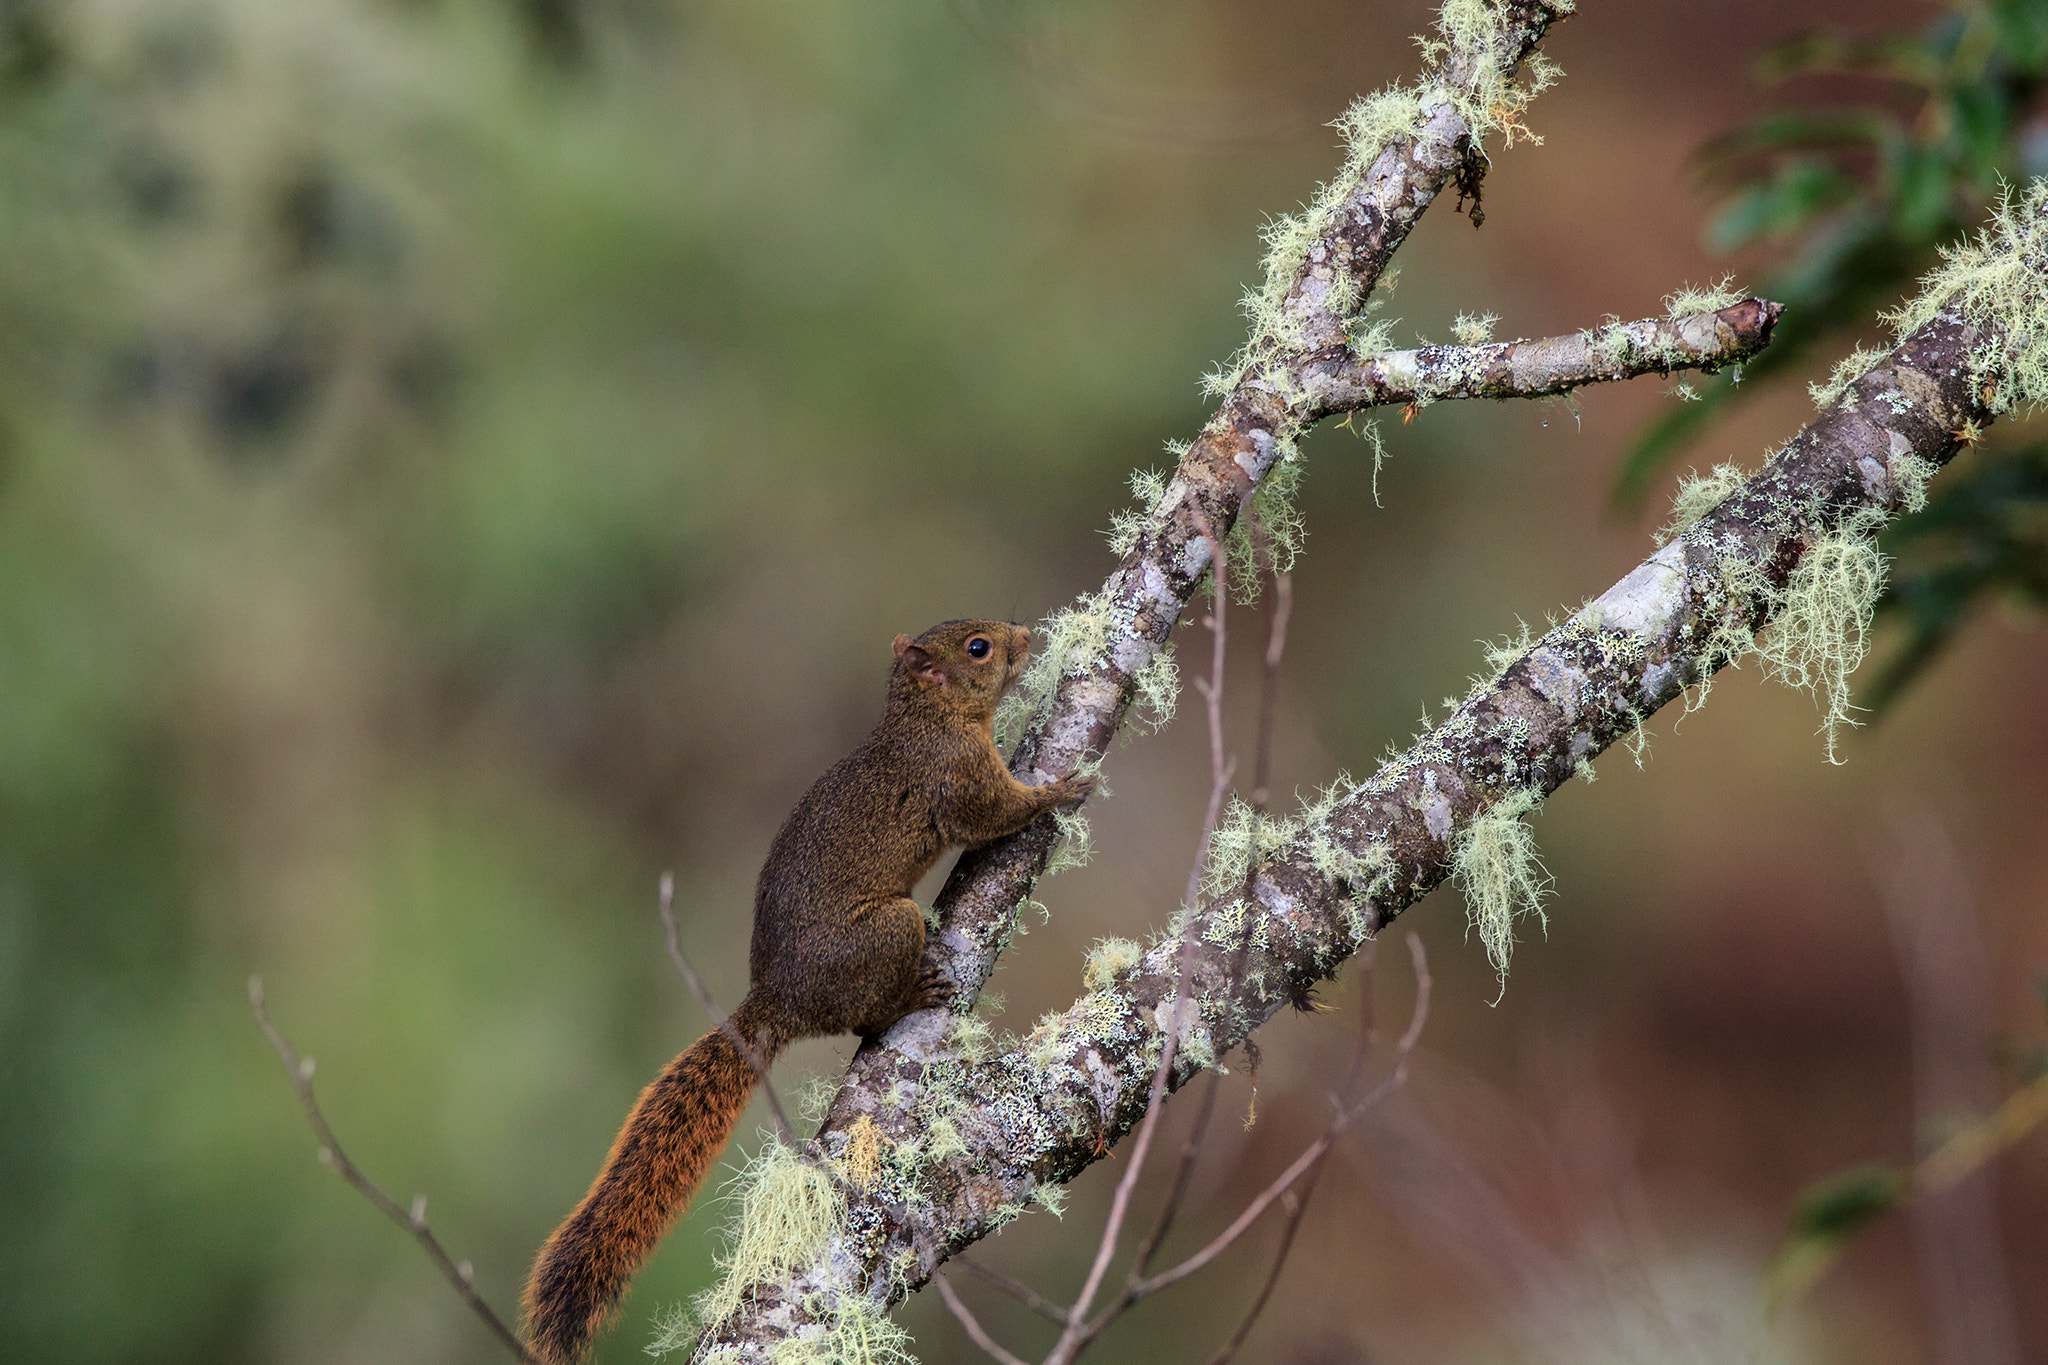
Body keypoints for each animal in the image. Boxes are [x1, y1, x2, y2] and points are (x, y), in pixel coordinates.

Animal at [520, 622, 1089, 1365]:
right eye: (977, 648)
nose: (1026, 635)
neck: (925, 720)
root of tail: (778, 1001)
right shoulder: (954, 775)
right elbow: (992, 813)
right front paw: (1059, 790)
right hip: (889, 932)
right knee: (866, 1012)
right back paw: (913, 994)